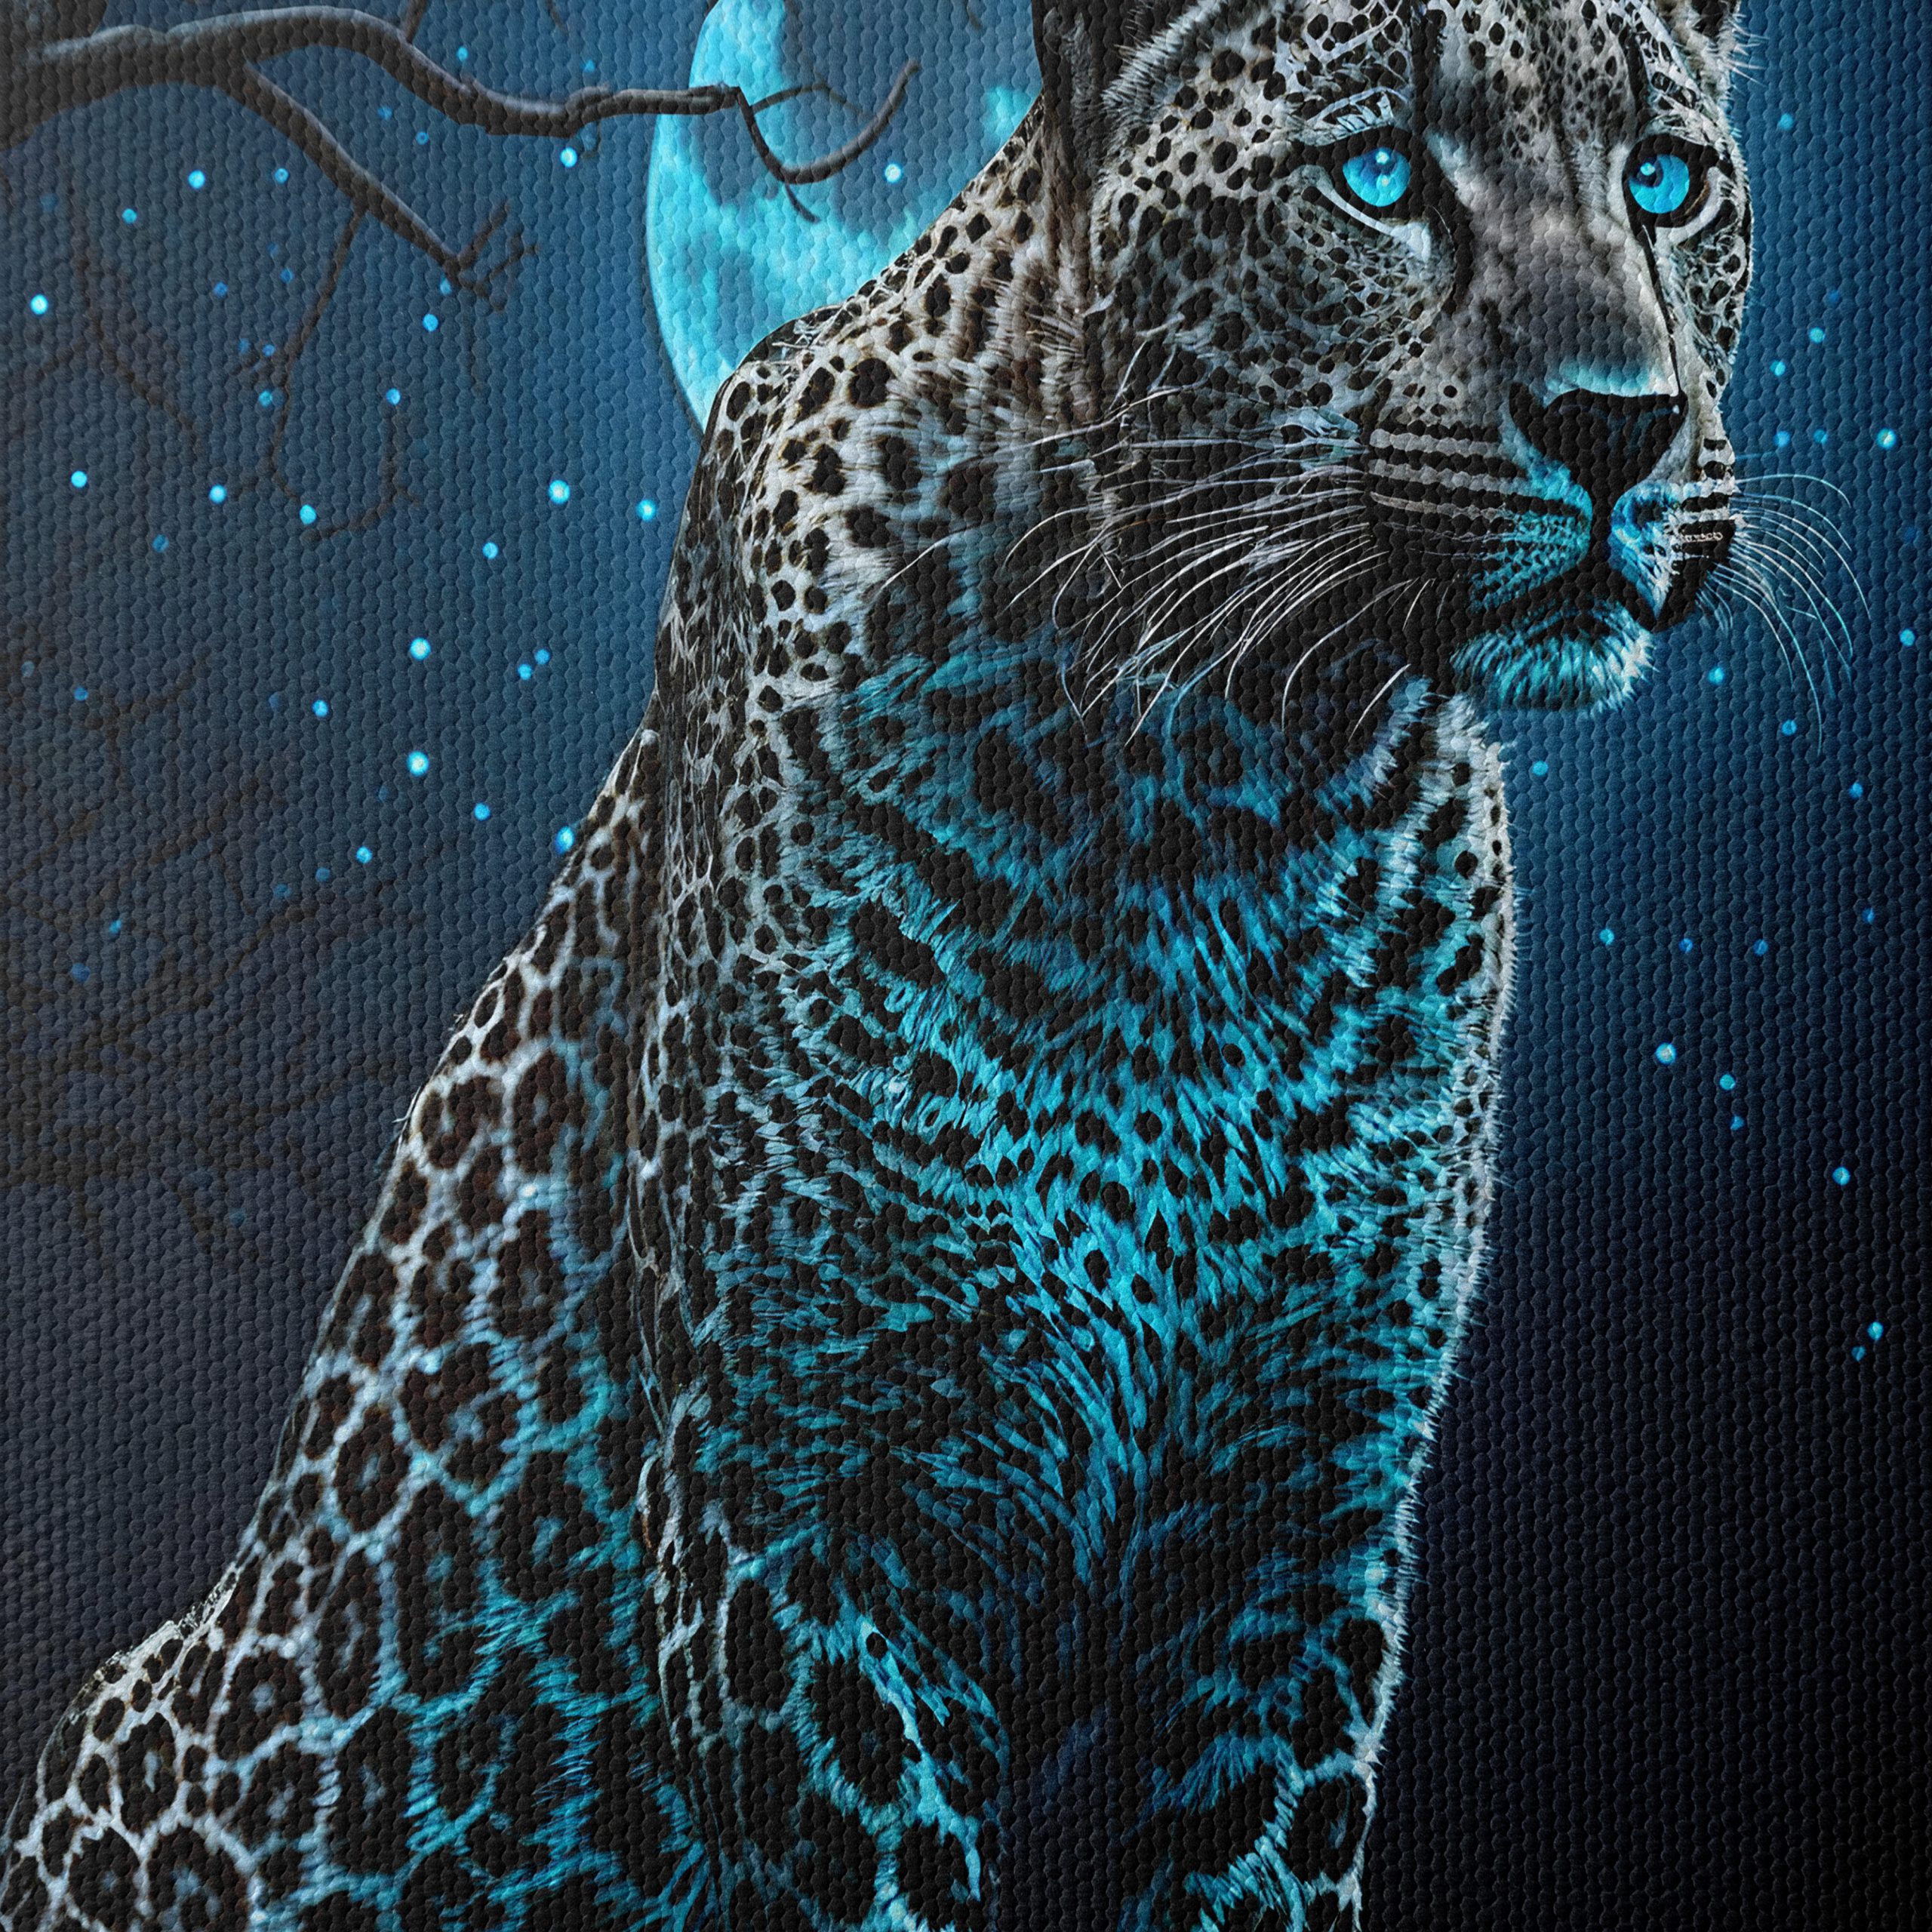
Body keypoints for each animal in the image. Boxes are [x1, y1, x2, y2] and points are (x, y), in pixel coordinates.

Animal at [1, 0, 1751, 1928]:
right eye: (1375, 173)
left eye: (1662, 182)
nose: (1618, 426)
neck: (1224, 785)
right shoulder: (801, 1516)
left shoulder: (1300, 1523)